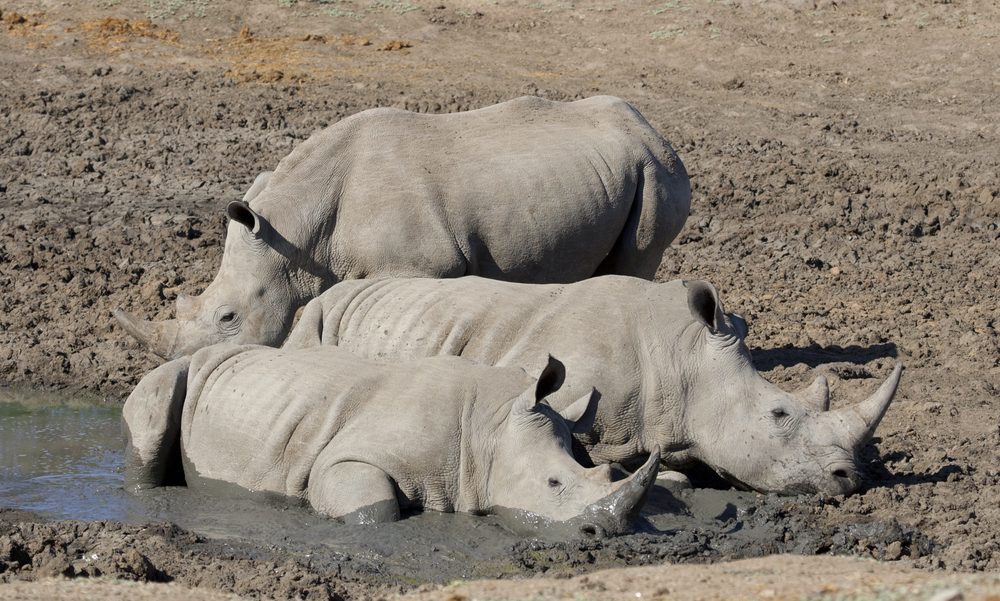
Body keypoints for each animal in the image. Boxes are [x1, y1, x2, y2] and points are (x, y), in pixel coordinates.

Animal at [114, 95, 691, 359]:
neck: (298, 236)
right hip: (616, 171)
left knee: (637, 260)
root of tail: (652, 128)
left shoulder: (426, 267)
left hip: (655, 172)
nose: (180, 368)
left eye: (228, 317)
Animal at [122, 345, 659, 536]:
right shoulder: (342, 459)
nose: (602, 533)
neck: (491, 426)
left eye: (613, 471)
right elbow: (376, 507)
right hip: (171, 375)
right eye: (553, 484)